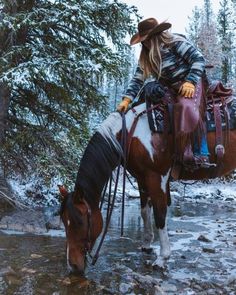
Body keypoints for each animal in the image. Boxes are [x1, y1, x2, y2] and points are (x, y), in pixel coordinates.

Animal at [58, 99, 236, 276]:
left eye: (80, 222)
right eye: (64, 221)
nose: (73, 267)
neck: (131, 134)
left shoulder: (157, 178)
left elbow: (160, 215)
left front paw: (162, 258)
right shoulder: (142, 179)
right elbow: (145, 212)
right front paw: (147, 245)